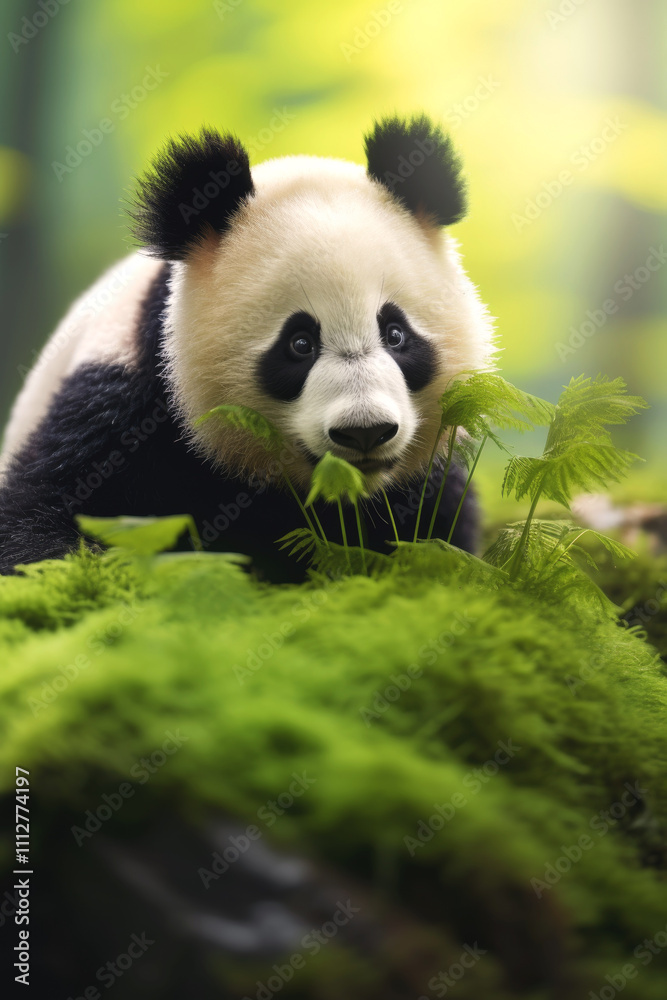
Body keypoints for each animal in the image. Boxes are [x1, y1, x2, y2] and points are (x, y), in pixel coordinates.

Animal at [0, 114, 494, 581]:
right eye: (299, 344)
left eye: (395, 334)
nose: (365, 431)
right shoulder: (122, 401)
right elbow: (39, 516)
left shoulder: (427, 480)